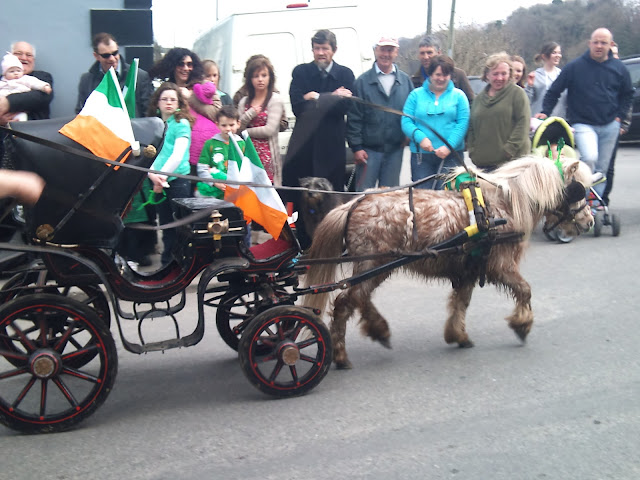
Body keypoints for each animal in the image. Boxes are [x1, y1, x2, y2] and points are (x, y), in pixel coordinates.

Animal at [303, 155, 594, 369]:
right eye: (579, 190)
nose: (590, 221)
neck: (502, 207)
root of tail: (353, 204)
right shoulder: (501, 266)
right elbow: (524, 290)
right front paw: (522, 324)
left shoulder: (469, 270)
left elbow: (461, 302)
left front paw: (457, 334)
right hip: (374, 264)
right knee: (346, 302)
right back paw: (345, 352)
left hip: (372, 266)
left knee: (358, 298)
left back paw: (375, 331)